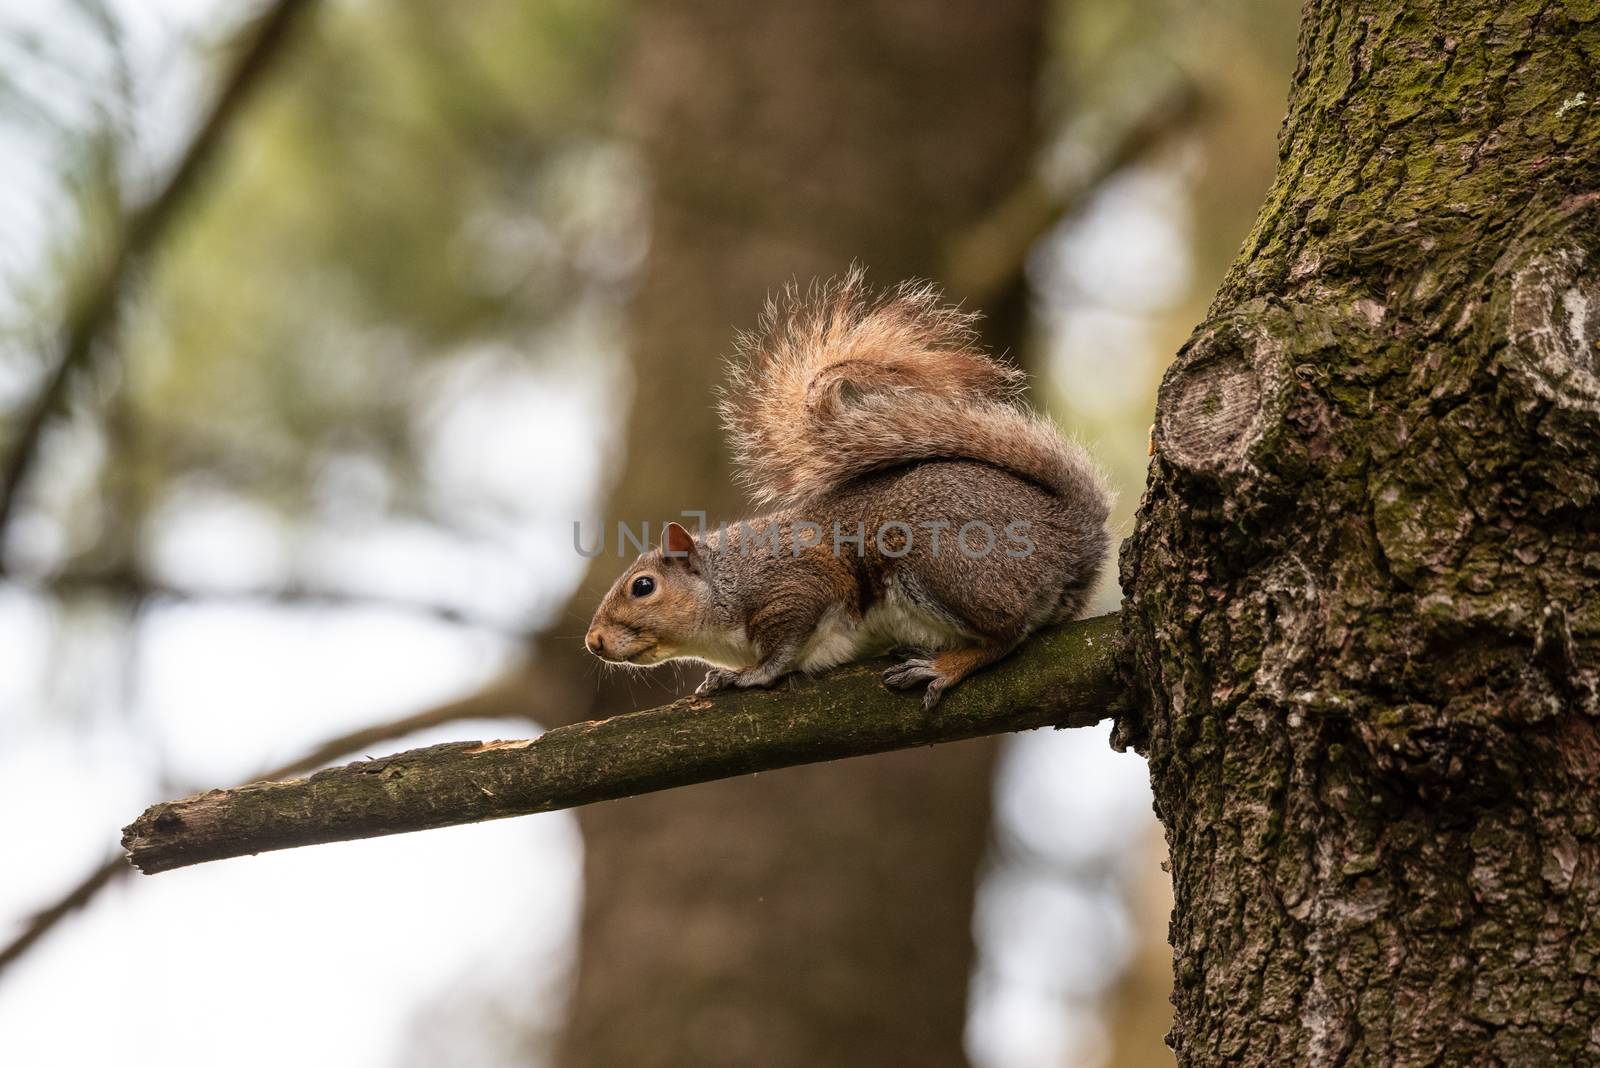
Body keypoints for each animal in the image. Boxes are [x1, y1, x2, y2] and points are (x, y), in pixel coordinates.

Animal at [585, 268, 1113, 709]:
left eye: (643, 586)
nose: (594, 642)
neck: (727, 583)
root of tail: (1067, 534)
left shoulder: (798, 585)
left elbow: (782, 647)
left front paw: (750, 675)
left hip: (941, 561)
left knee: (1008, 634)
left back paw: (943, 667)